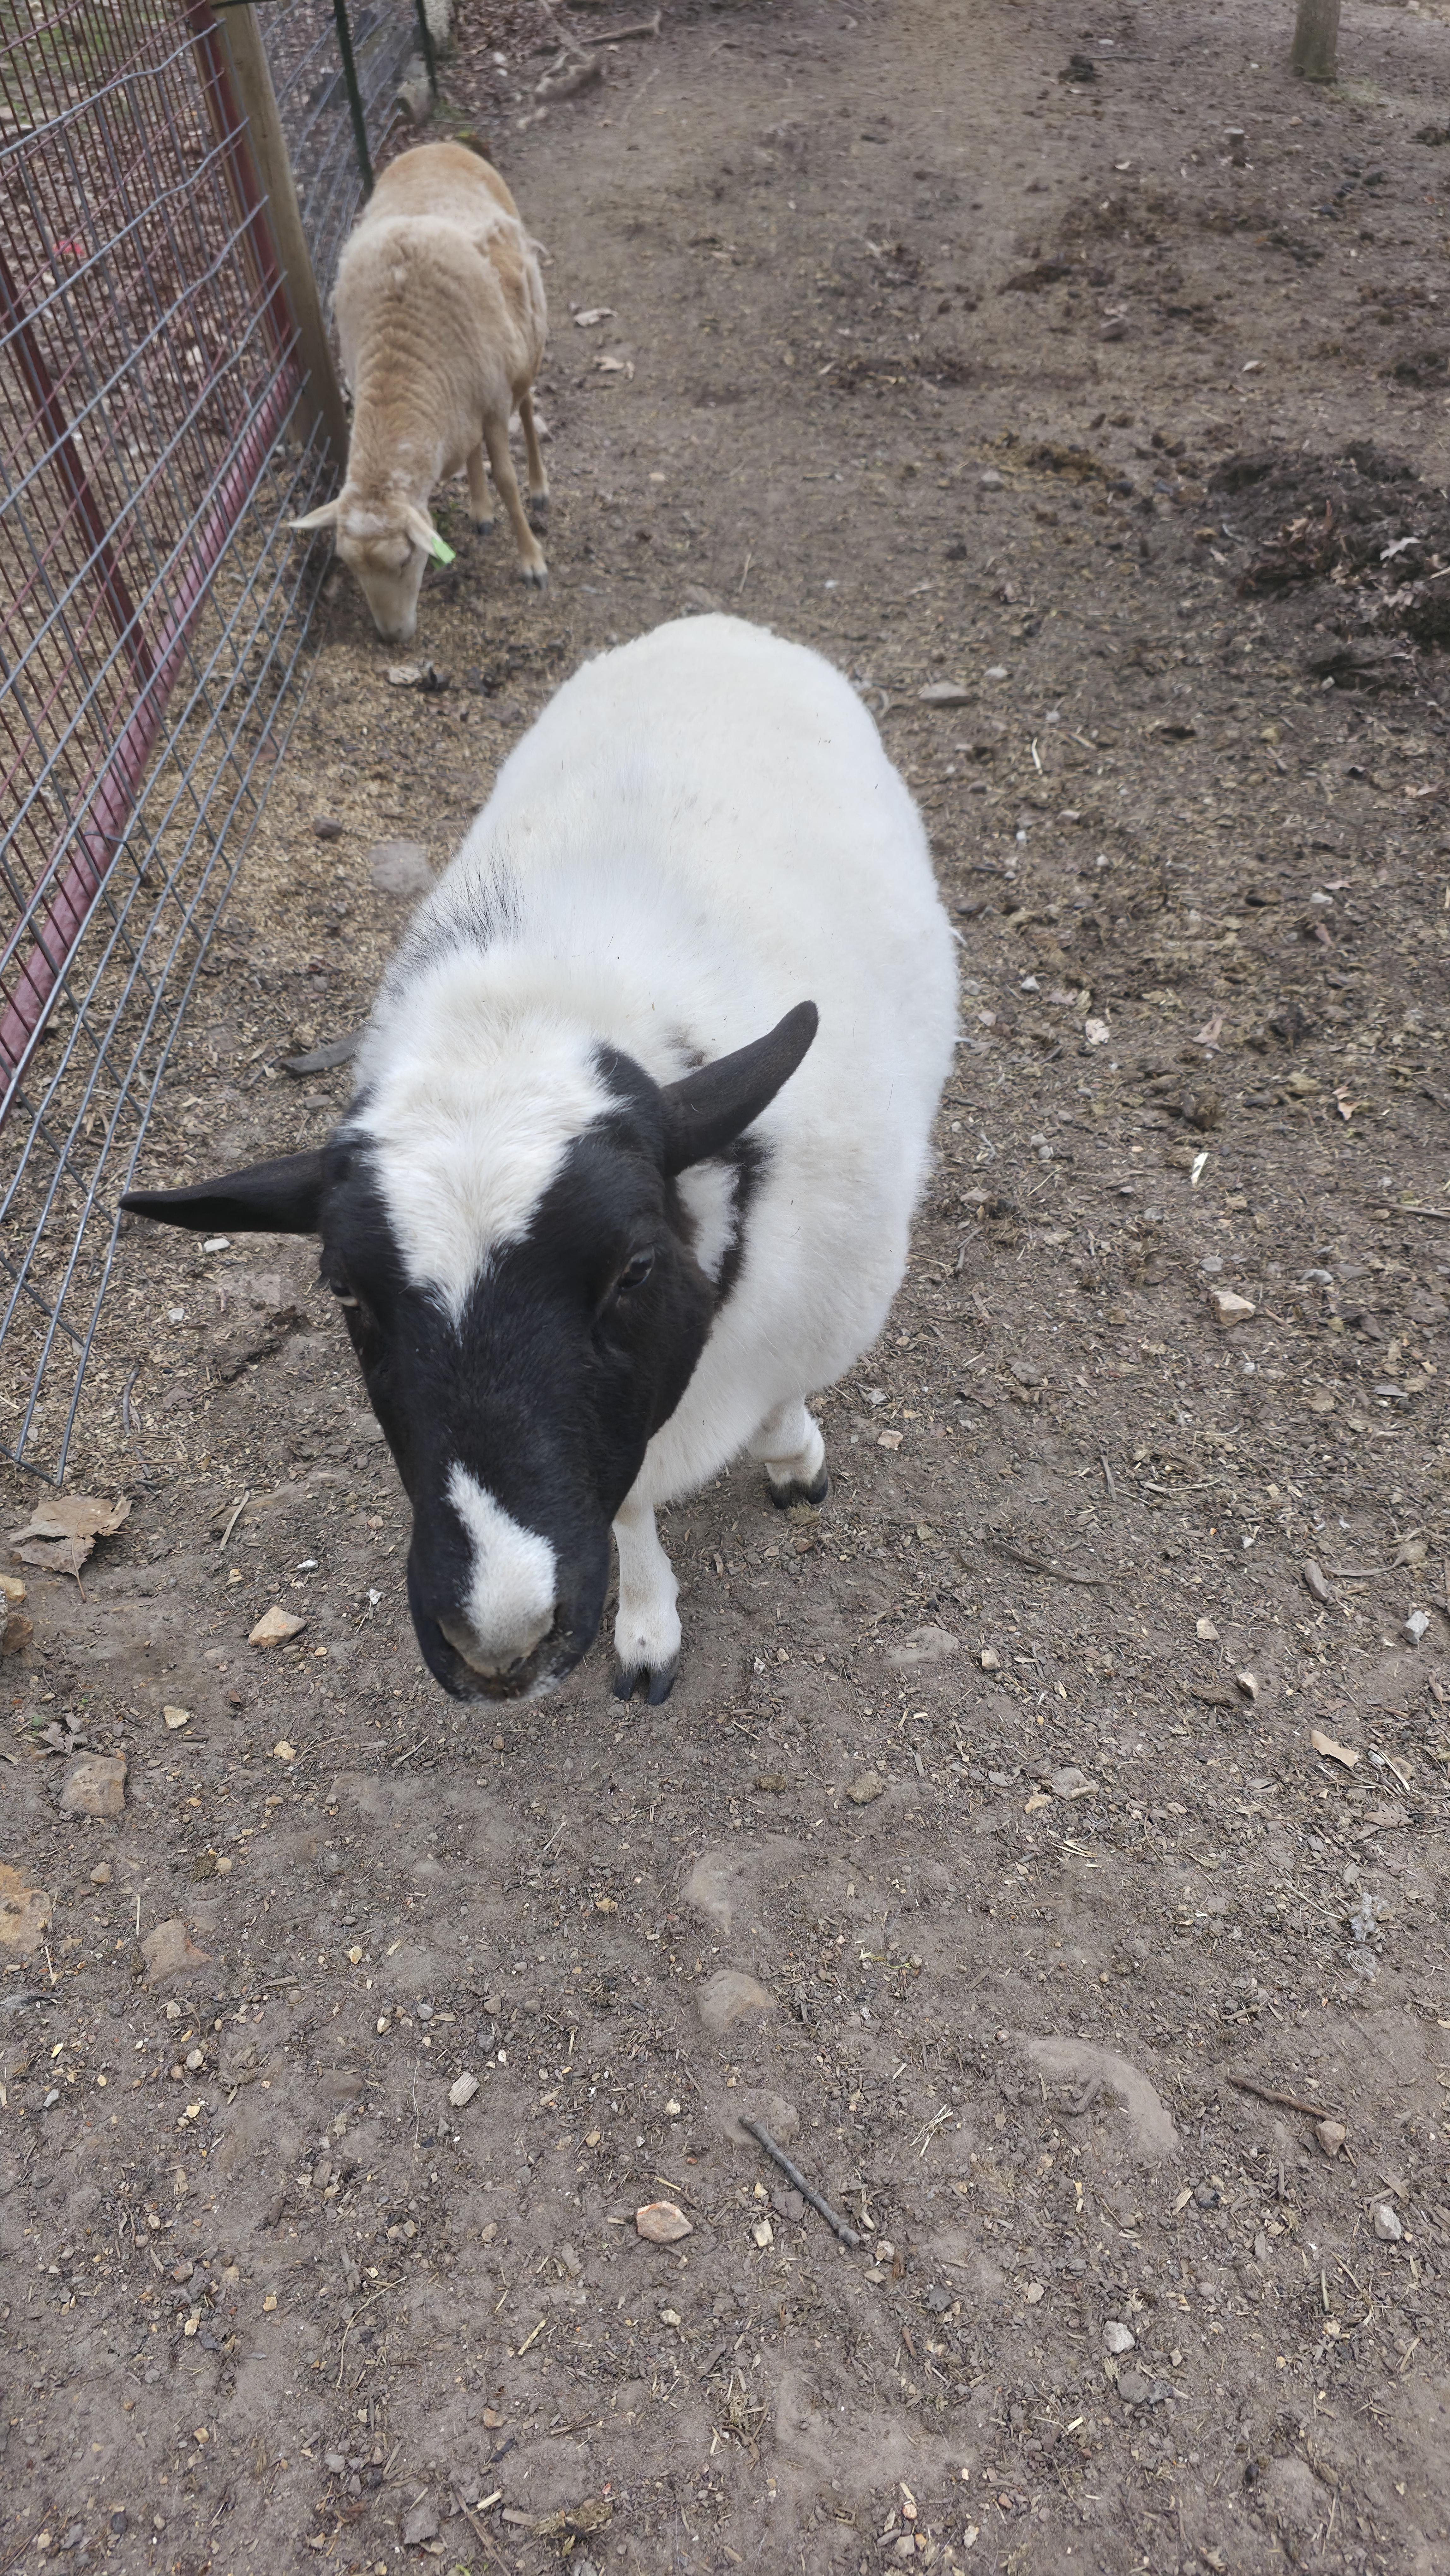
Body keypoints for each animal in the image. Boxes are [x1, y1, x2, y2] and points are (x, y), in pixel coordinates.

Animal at [120, 615, 957, 1706]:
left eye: (634, 1268)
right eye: (344, 1291)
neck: (531, 1009)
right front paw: (646, 1627)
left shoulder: (812, 1317)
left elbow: (780, 1406)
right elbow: (627, 1509)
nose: (495, 1638)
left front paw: (793, 1463)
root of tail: (715, 625)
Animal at [291, 141, 548, 642]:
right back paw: (480, 510)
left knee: (527, 409)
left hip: (525, 344)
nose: (391, 637)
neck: (399, 362)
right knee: (470, 444)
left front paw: (531, 560)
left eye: (406, 560)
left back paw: (539, 486)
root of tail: (441, 144)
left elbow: (508, 483)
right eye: (350, 567)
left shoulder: (493, 404)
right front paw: (486, 510)